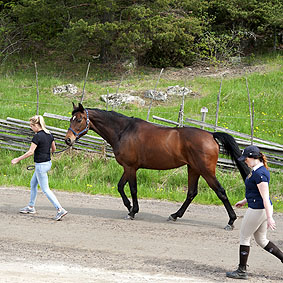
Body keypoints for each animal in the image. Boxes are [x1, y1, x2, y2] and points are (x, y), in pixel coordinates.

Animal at [65, 103, 251, 231]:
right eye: (71, 119)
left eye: (79, 119)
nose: (68, 140)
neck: (123, 131)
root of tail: (211, 135)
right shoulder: (128, 167)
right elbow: (120, 187)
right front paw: (129, 207)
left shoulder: (131, 167)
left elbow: (132, 189)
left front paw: (133, 211)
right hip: (193, 169)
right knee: (191, 193)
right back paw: (175, 215)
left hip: (206, 171)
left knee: (220, 192)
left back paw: (231, 221)